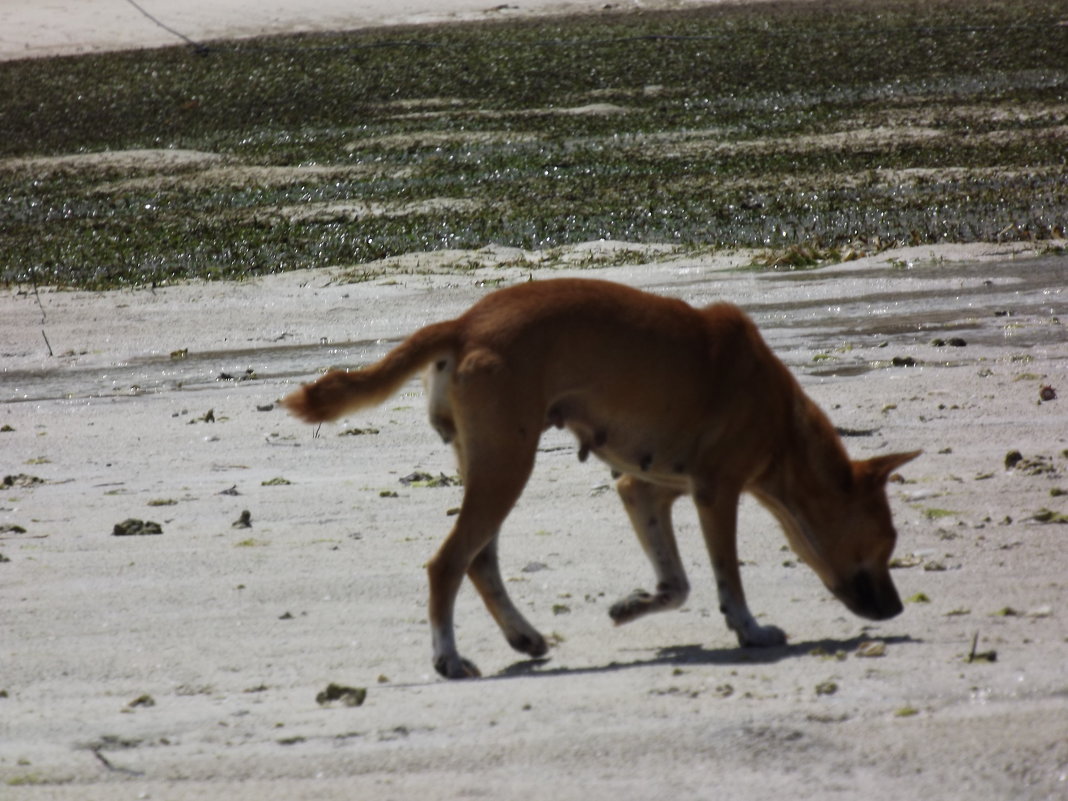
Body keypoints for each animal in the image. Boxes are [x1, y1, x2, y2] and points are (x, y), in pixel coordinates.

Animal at [281, 279, 918, 679]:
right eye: (886, 545)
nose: (896, 610)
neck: (783, 421)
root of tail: (463, 323)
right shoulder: (717, 492)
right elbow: (727, 580)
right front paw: (750, 631)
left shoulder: (644, 490)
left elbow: (676, 584)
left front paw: (633, 605)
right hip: (508, 465)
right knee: (448, 564)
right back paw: (449, 659)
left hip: (488, 464)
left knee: (480, 562)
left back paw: (522, 636)